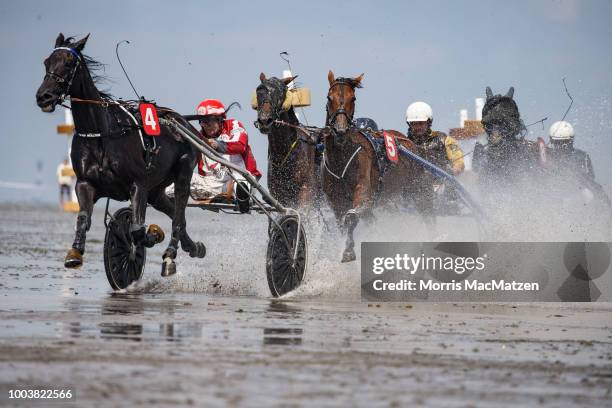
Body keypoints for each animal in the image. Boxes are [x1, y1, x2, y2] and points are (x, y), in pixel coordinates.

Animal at [35, 33, 206, 278]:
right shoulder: (85, 183)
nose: (44, 96)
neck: (100, 133)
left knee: (179, 211)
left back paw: (170, 254)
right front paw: (74, 253)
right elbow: (83, 218)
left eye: (68, 62)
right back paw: (194, 247)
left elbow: (136, 230)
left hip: (183, 171)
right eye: (46, 62)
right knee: (174, 211)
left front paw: (152, 235)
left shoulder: (138, 185)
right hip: (156, 190)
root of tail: (183, 122)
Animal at [320, 71, 436, 262]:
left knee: (428, 214)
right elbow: (344, 222)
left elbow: (351, 217)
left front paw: (349, 250)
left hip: (417, 189)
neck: (341, 159)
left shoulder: (364, 194)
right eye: (330, 98)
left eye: (353, 98)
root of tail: (410, 143)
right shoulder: (336, 204)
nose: (340, 131)